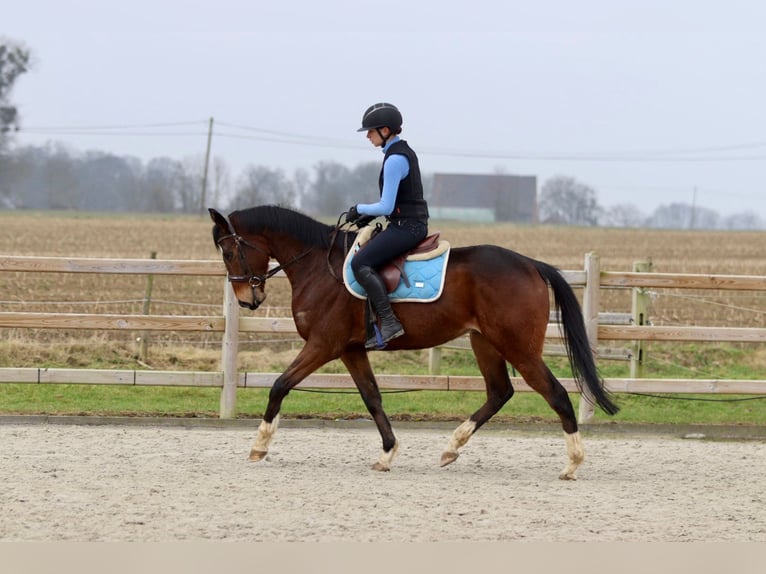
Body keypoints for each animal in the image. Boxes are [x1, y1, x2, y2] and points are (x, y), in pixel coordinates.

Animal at [208, 206, 616, 482]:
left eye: (229, 252)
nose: (248, 300)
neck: (318, 267)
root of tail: (531, 264)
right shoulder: (351, 350)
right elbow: (372, 398)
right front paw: (388, 453)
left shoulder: (324, 344)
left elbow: (280, 385)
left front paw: (259, 446)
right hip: (484, 342)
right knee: (500, 392)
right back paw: (452, 447)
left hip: (519, 347)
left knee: (556, 394)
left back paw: (572, 464)